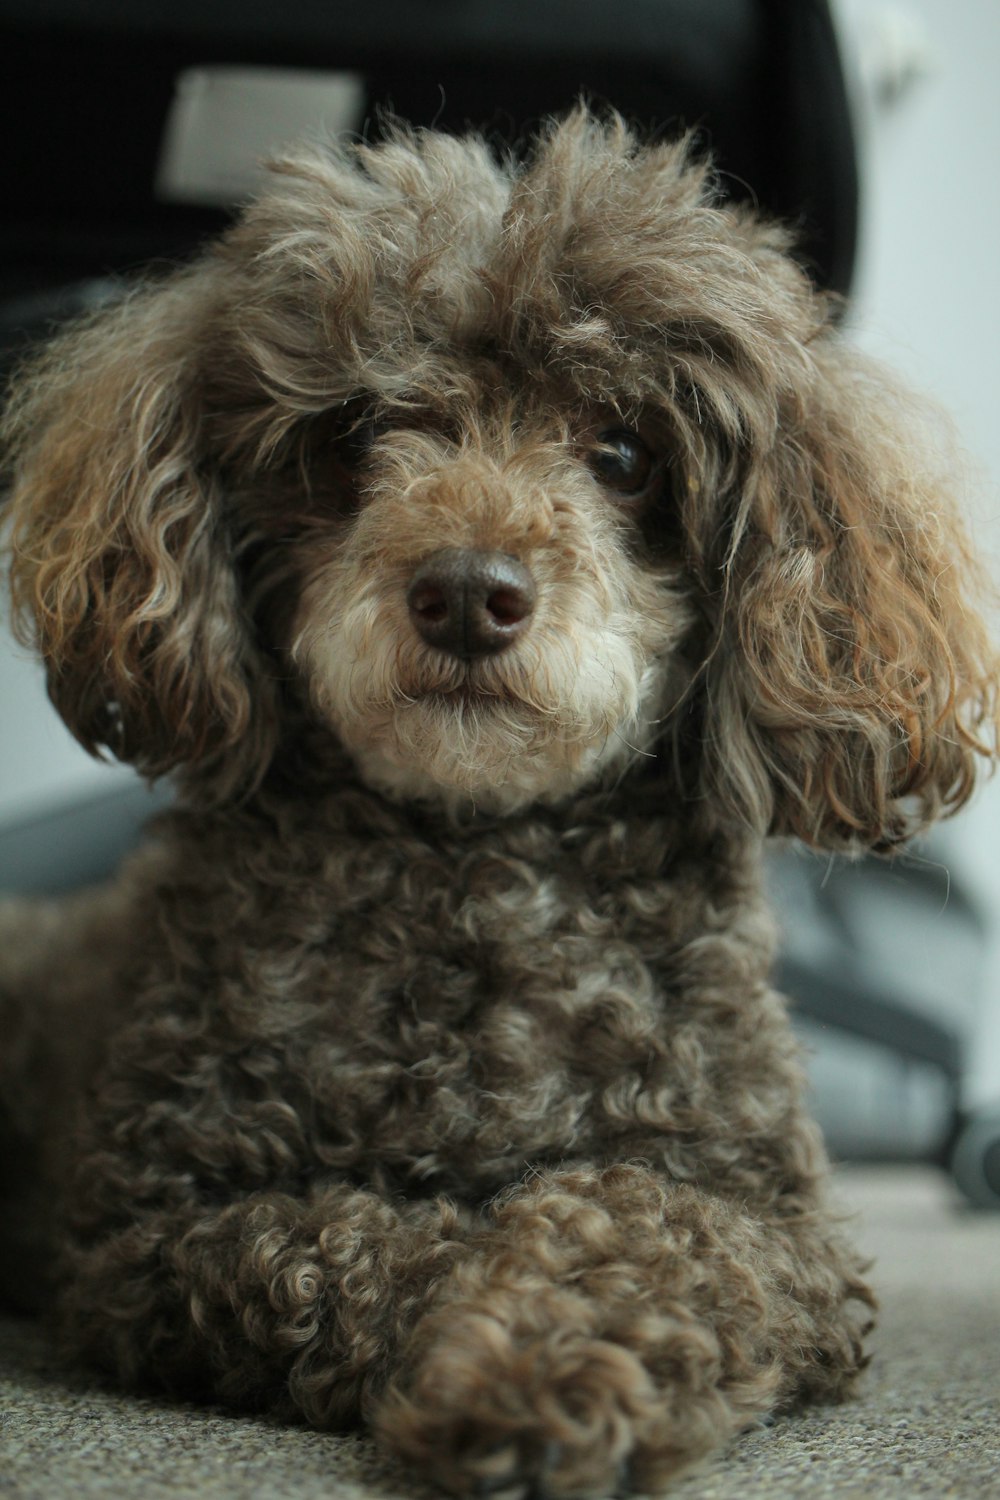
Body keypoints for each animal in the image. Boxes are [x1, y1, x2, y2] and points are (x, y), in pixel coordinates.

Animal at [1, 111, 1000, 1494]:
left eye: (623, 453)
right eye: (357, 437)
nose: (468, 593)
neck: (474, 865)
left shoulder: (775, 1225)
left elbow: (642, 1226)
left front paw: (545, 1369)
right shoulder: (157, 1225)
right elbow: (353, 1246)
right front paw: (480, 1331)